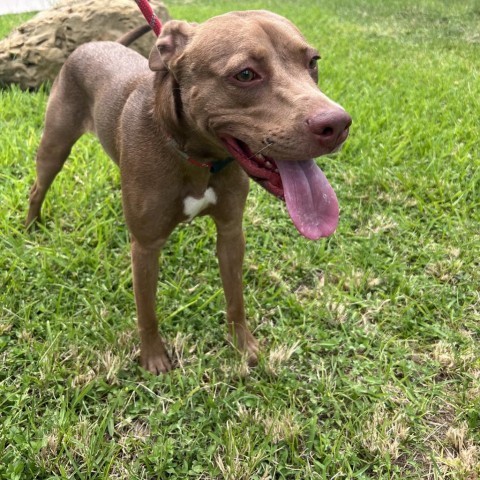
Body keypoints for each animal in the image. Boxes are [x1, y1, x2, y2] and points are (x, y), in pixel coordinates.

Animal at [26, 9, 350, 374]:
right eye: (245, 74)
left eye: (313, 62)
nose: (338, 124)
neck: (198, 157)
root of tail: (95, 43)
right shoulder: (145, 248)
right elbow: (147, 311)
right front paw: (154, 357)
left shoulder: (230, 233)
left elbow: (236, 298)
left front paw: (243, 346)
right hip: (54, 146)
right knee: (38, 188)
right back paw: (31, 226)